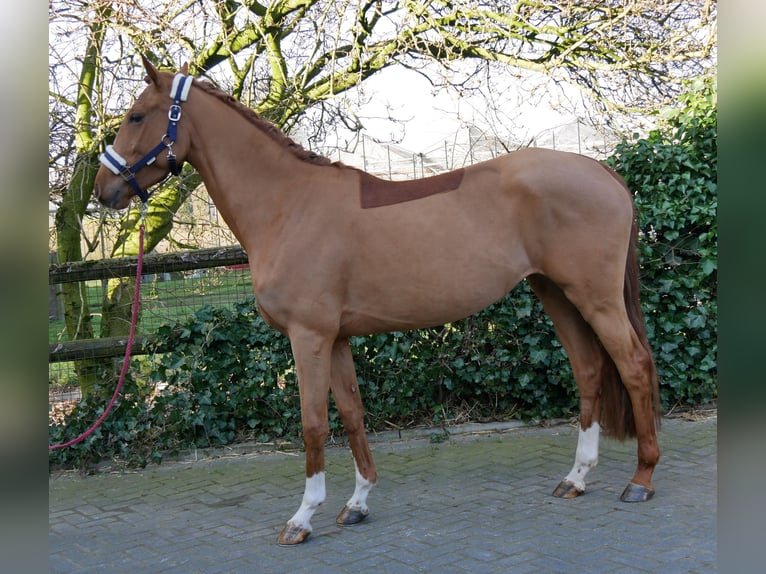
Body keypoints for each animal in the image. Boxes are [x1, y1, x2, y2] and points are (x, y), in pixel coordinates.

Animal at [94, 59, 660, 548]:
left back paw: (641, 479)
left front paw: (302, 518)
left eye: (136, 116)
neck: (288, 206)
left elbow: (313, 425)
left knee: (633, 365)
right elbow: (352, 414)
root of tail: (604, 173)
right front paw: (358, 503)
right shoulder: (338, 338)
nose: (103, 190)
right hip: (555, 293)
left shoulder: (309, 337)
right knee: (589, 369)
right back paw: (576, 478)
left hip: (595, 298)